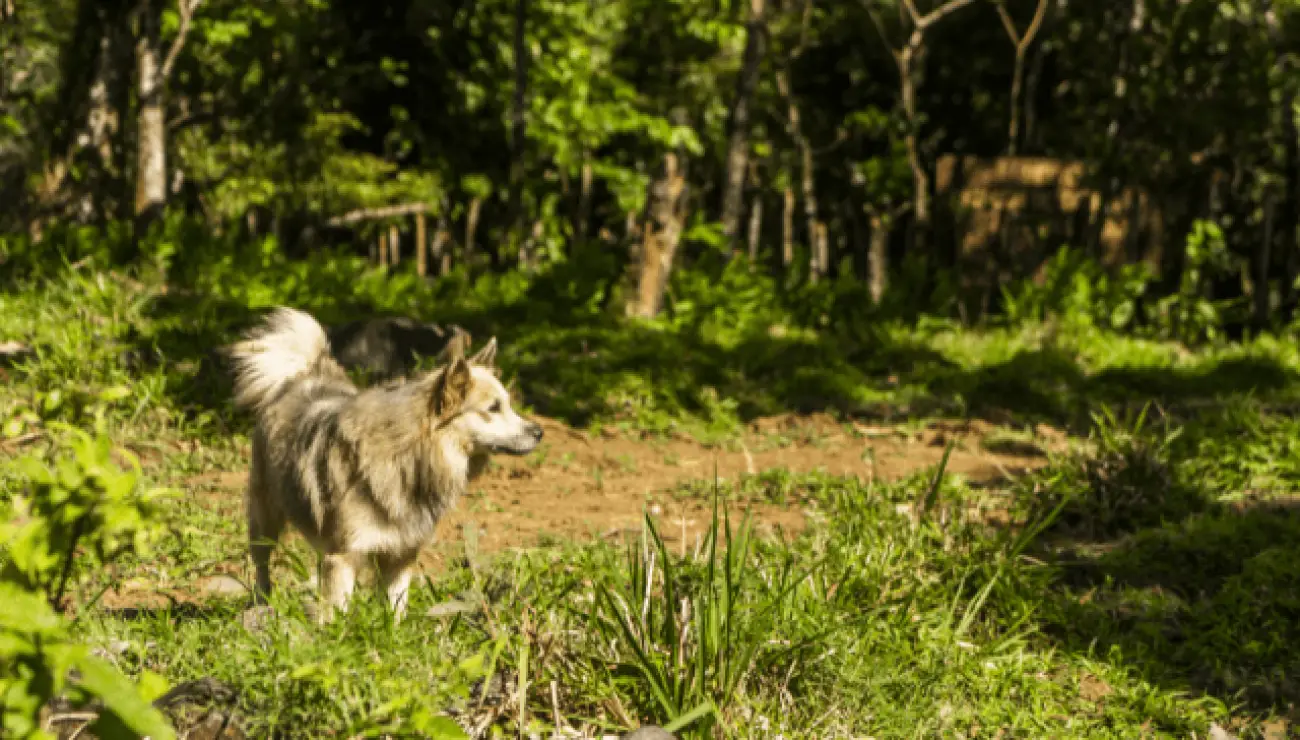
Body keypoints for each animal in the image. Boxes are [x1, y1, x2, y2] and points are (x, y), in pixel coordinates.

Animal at [228, 304, 543, 616]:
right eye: (494, 408)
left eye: (508, 405)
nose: (538, 432)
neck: (408, 458)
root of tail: (306, 375)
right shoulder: (344, 556)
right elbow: (337, 617)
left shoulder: (400, 557)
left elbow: (395, 612)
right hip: (264, 519)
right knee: (262, 564)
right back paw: (262, 603)